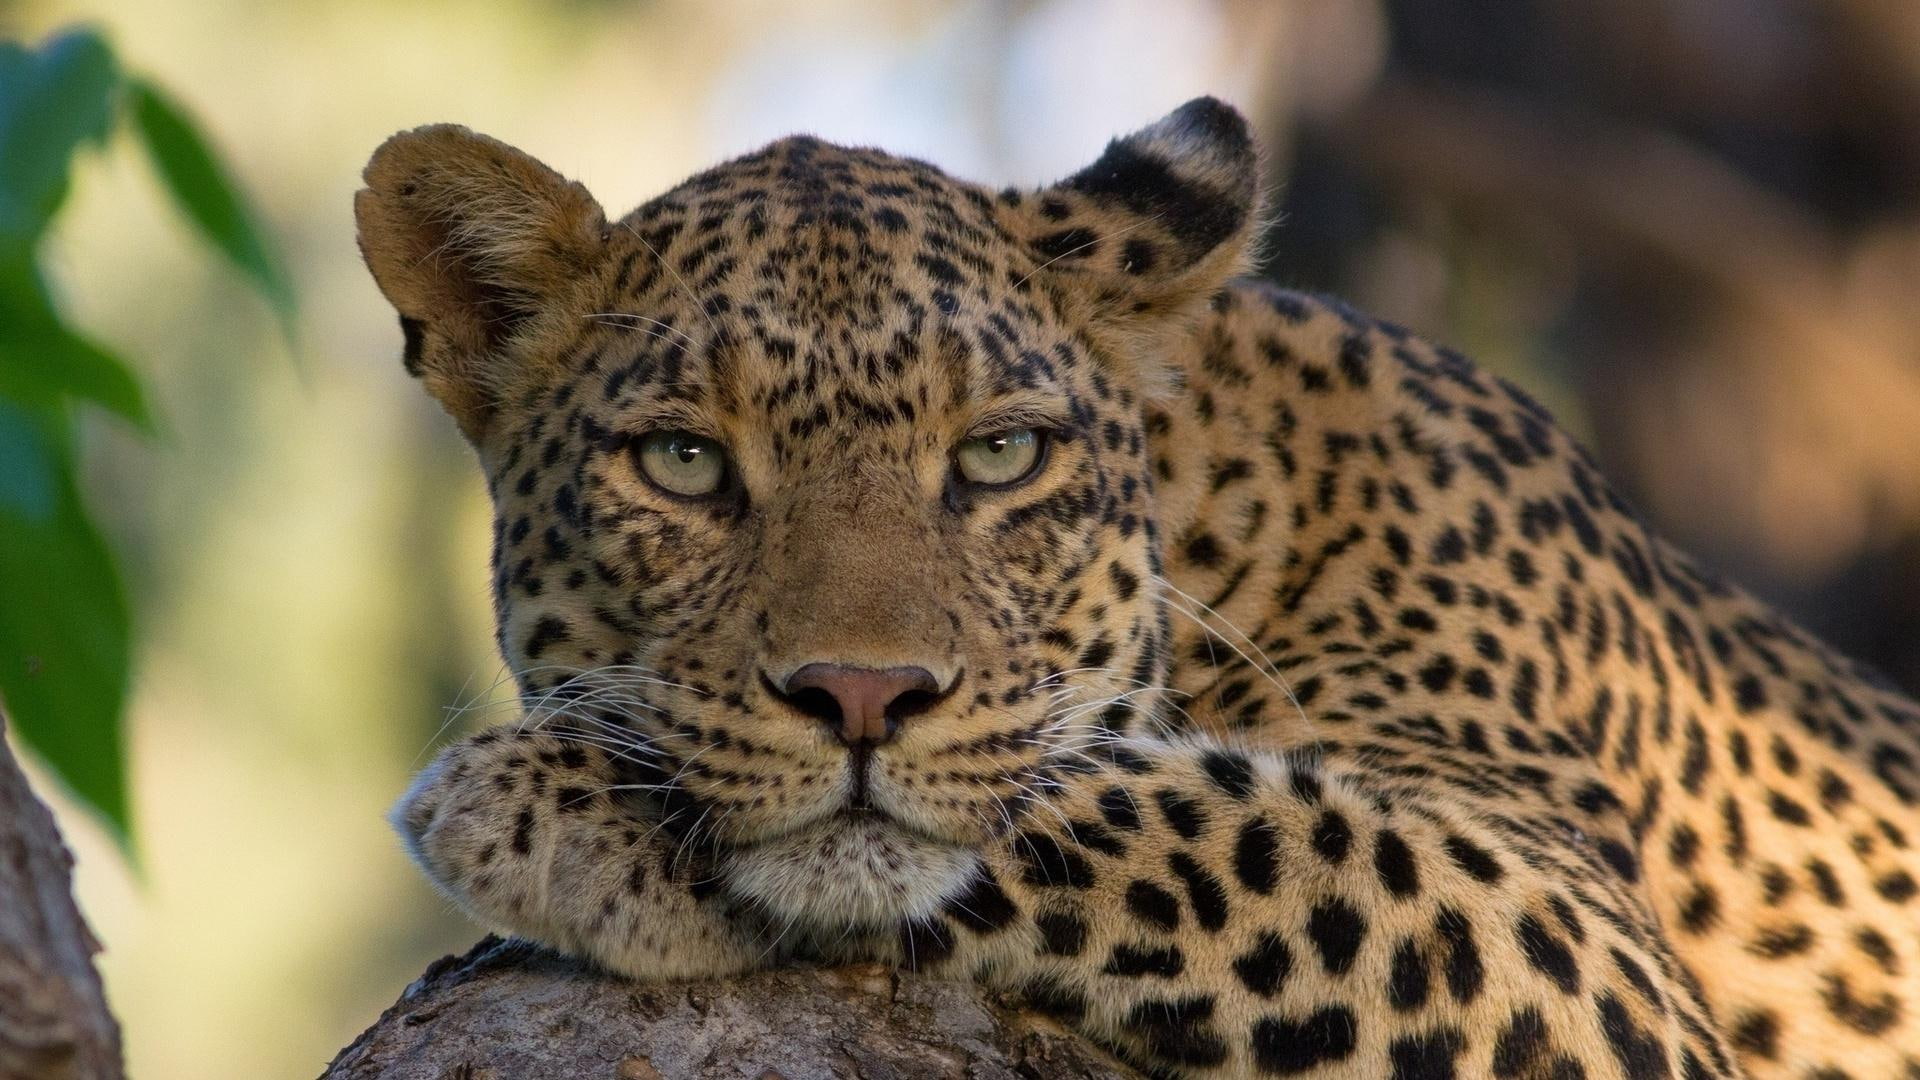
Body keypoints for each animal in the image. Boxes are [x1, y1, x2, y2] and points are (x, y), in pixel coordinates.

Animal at [355, 98, 1920, 1078]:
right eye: (683, 462)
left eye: (1000, 454)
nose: (860, 694)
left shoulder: (1593, 948)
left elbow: (1181, 814)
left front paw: (551, 806)